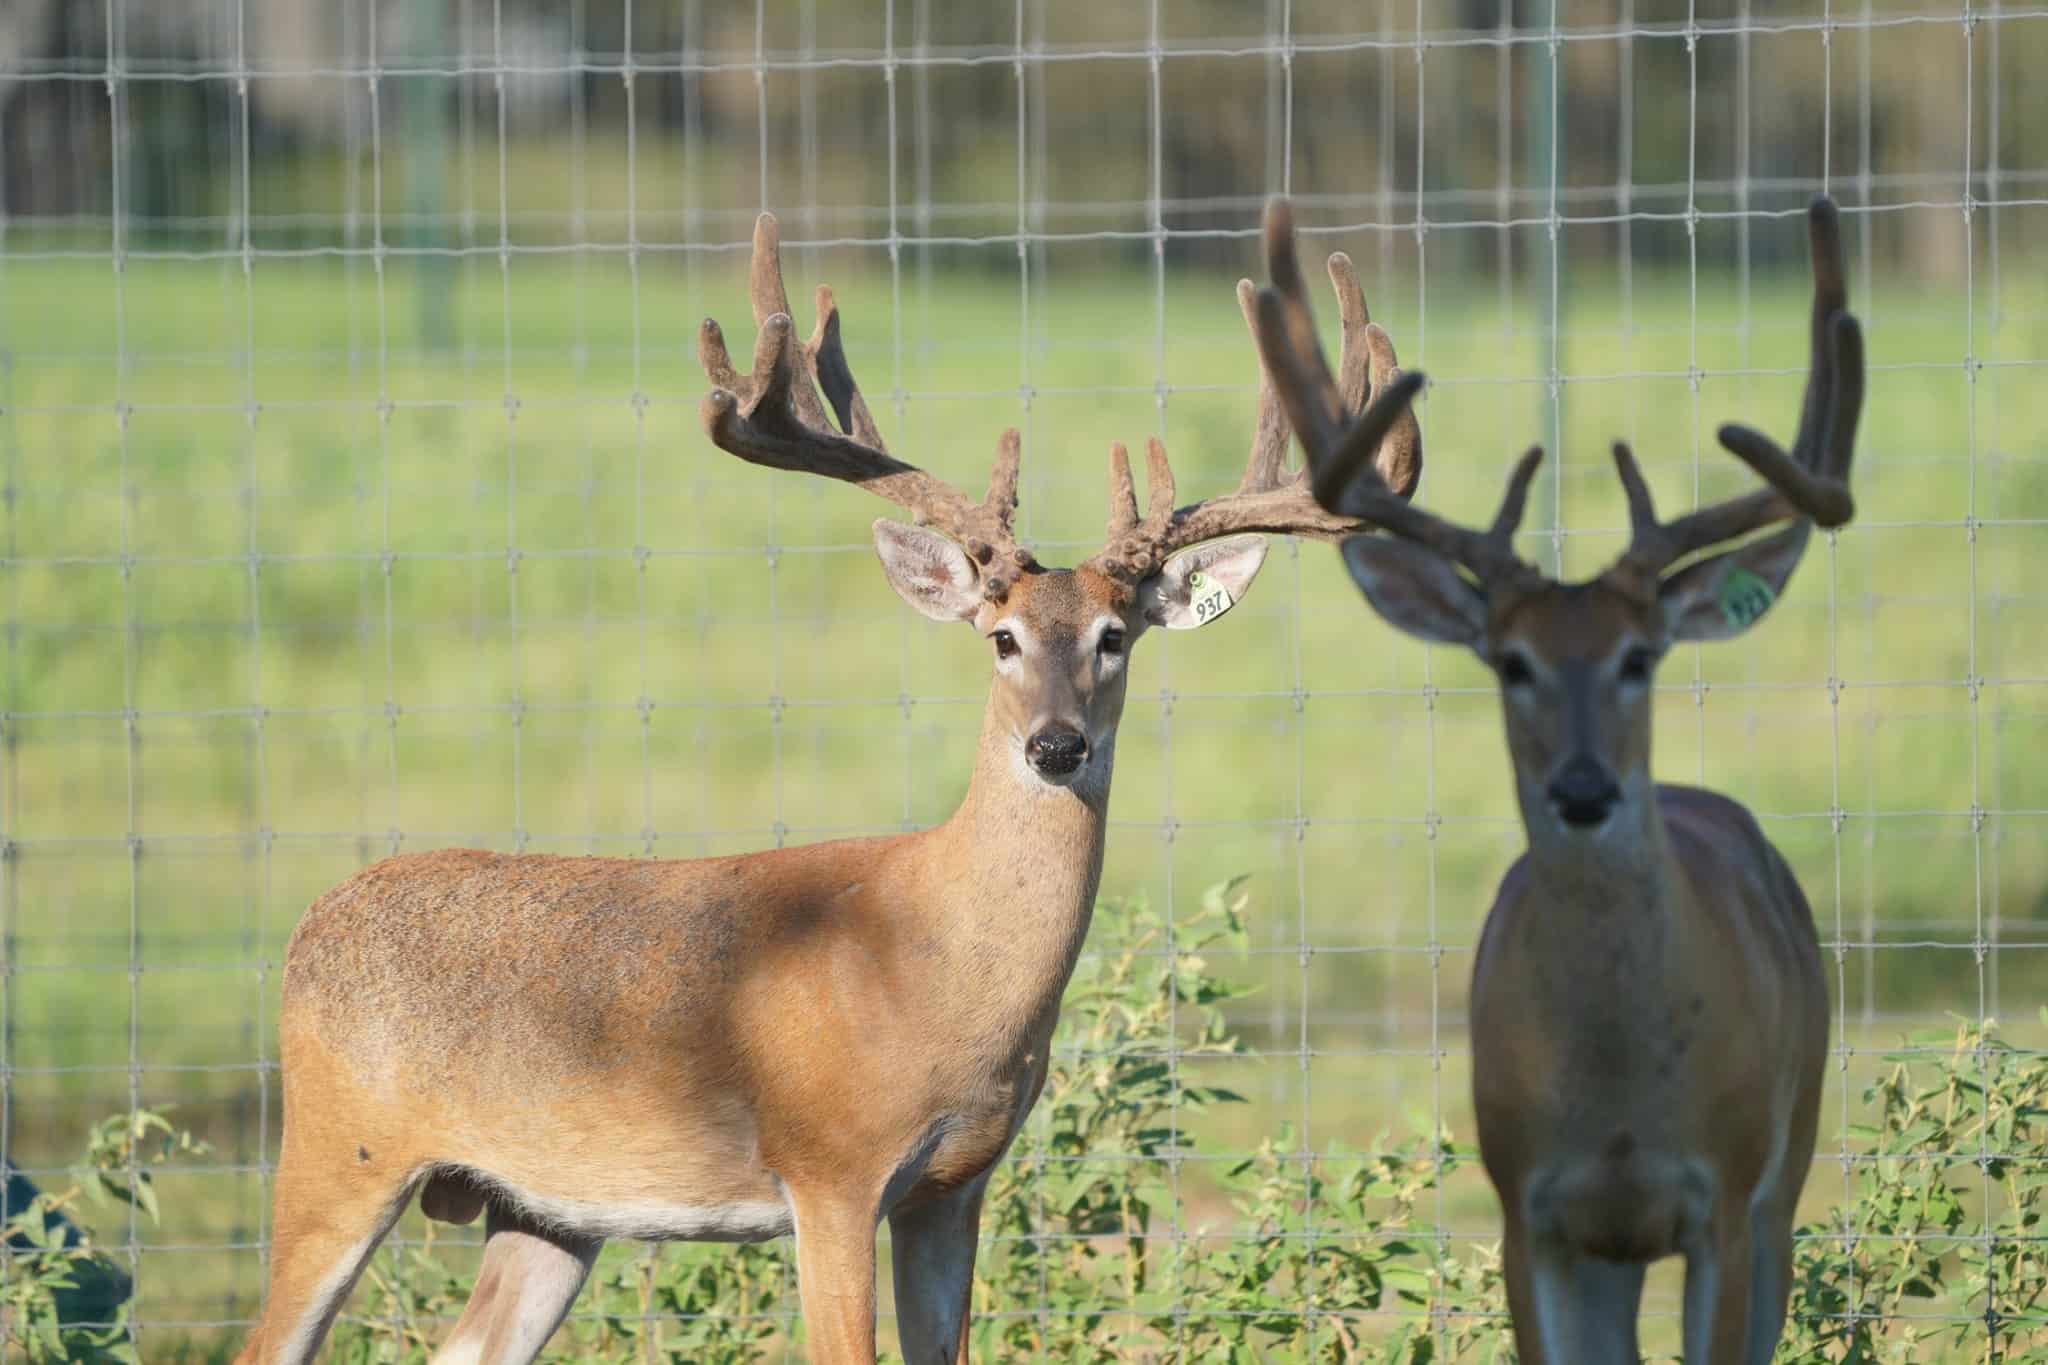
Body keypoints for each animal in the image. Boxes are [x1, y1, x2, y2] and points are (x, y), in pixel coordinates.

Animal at [232, 210, 1429, 1365]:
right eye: (999, 637)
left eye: (1114, 636)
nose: (1056, 748)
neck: (936, 964)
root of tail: (310, 922)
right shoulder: (831, 1167)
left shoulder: (954, 1182)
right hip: (340, 1151)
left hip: (544, 1209)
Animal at [1245, 195, 1860, 1362]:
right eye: (1511, 660)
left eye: (1639, 656)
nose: (1583, 790)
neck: (1616, 1099)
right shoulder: (1528, 1207)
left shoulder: (1722, 1196)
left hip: (1793, 1155)